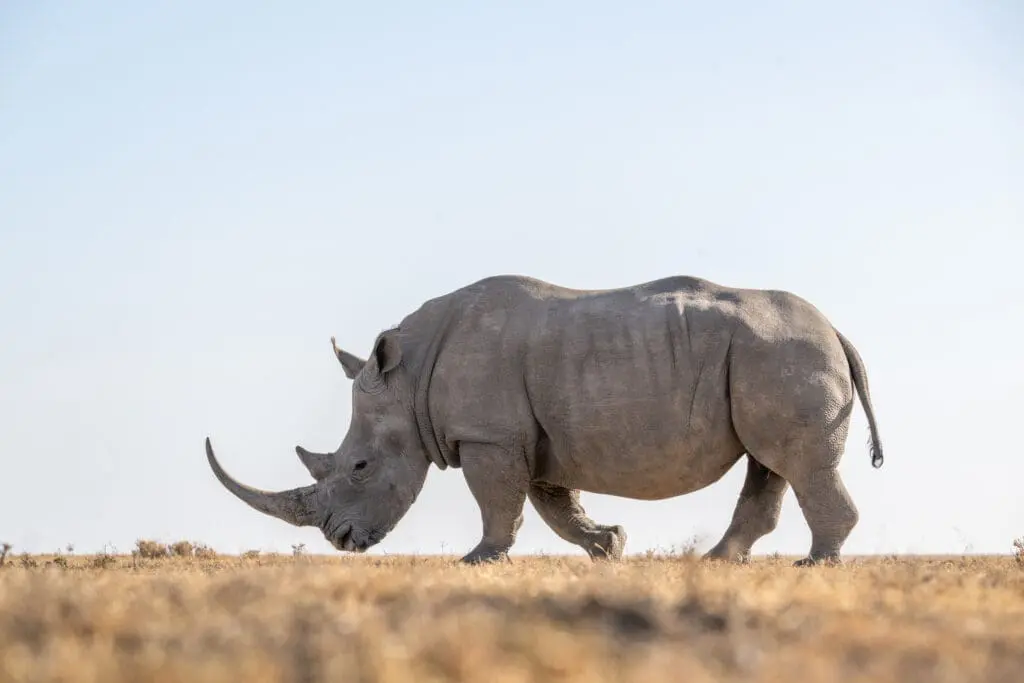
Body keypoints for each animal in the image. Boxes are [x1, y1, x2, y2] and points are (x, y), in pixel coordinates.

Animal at [205, 274, 883, 566]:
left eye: (361, 466)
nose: (339, 541)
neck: (409, 378)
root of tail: (837, 330)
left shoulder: (487, 434)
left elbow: (498, 500)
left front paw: (478, 560)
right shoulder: (527, 435)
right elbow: (553, 502)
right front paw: (608, 546)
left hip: (784, 353)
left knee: (796, 462)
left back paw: (814, 564)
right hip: (767, 358)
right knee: (770, 462)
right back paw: (717, 561)